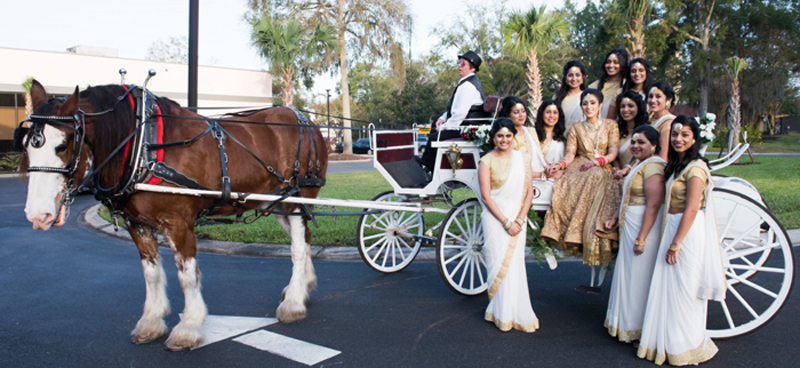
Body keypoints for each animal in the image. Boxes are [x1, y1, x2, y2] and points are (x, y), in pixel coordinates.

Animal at [21, 81, 328, 350]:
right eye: (26, 146)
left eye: (62, 145)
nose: (37, 215)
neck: (142, 147)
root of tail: (306, 121)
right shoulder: (138, 224)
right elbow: (151, 273)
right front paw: (151, 322)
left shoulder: (179, 223)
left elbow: (187, 276)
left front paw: (189, 328)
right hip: (277, 202)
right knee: (304, 239)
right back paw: (303, 286)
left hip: (298, 199)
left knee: (298, 247)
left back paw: (294, 303)